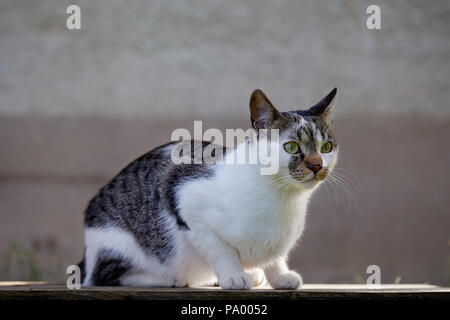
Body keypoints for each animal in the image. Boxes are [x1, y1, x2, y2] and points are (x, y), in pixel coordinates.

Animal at [79, 88, 338, 290]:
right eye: (292, 147)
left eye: (326, 147)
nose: (317, 165)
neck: (284, 197)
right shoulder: (184, 200)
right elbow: (220, 249)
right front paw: (234, 275)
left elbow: (274, 258)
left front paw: (280, 275)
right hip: (115, 244)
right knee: (103, 276)